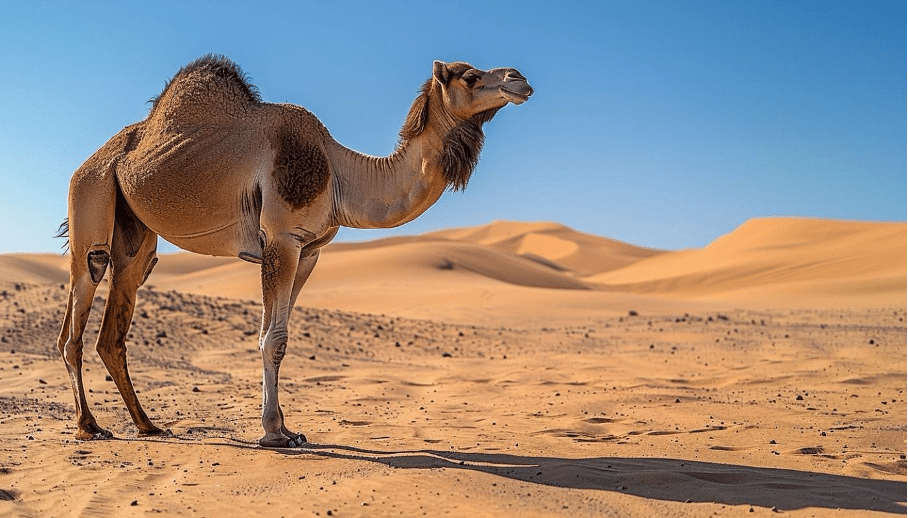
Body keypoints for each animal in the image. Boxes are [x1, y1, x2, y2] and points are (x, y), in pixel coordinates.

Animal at [56, 54, 532, 447]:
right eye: (470, 76)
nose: (519, 78)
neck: (339, 173)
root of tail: (87, 164)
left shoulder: (309, 250)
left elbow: (277, 336)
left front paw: (286, 429)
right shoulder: (282, 238)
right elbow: (273, 339)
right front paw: (272, 434)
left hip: (137, 237)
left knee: (114, 327)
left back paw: (148, 425)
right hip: (91, 197)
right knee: (77, 314)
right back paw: (89, 426)